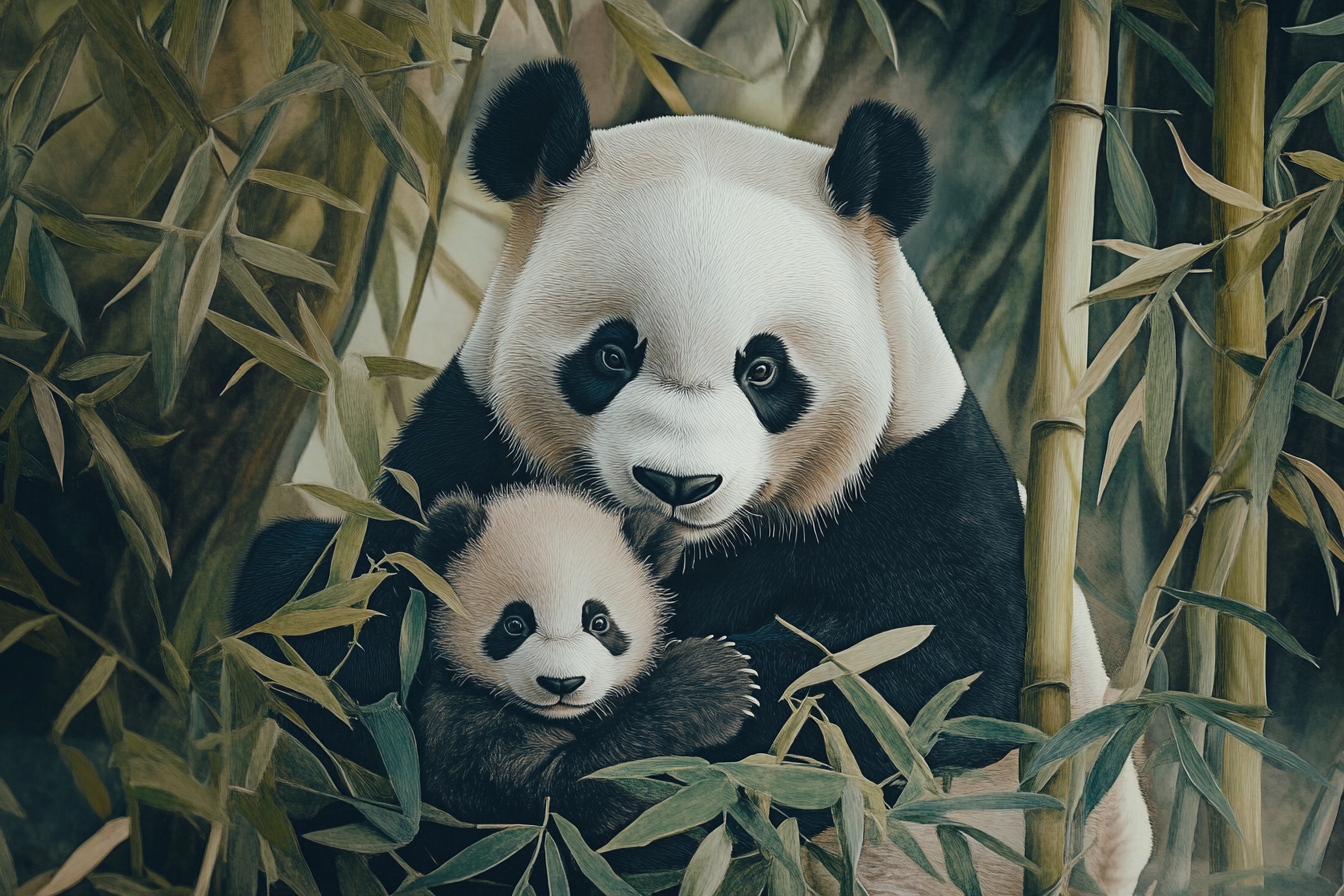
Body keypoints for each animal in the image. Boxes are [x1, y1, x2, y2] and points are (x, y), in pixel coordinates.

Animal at [410, 485, 758, 839]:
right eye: (514, 625)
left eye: (599, 622)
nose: (562, 682)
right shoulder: (460, 723)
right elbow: (567, 789)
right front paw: (710, 678)